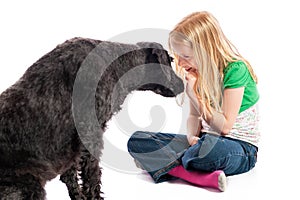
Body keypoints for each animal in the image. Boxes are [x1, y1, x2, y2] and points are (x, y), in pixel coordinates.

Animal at [0, 37, 183, 198]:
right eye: (170, 60)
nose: (182, 84)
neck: (118, 65)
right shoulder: (91, 134)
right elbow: (92, 177)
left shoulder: (71, 147)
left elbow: (70, 175)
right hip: (29, 185)